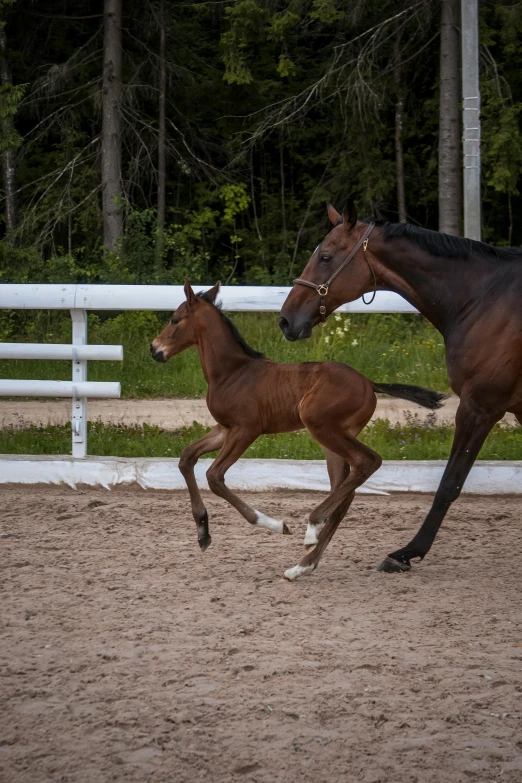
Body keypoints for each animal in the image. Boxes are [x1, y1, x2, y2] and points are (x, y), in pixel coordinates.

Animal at [150, 282, 442, 580]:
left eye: (174, 319)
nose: (154, 349)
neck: (232, 372)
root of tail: (369, 383)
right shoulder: (224, 428)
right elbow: (186, 457)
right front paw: (203, 532)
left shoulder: (246, 429)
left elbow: (214, 476)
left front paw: (277, 525)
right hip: (334, 439)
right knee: (346, 491)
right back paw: (302, 566)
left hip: (320, 426)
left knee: (368, 461)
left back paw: (312, 529)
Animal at [278, 199, 516, 572]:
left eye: (326, 256)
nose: (286, 320)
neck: (482, 300)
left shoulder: (479, 407)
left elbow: (450, 484)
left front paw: (406, 552)